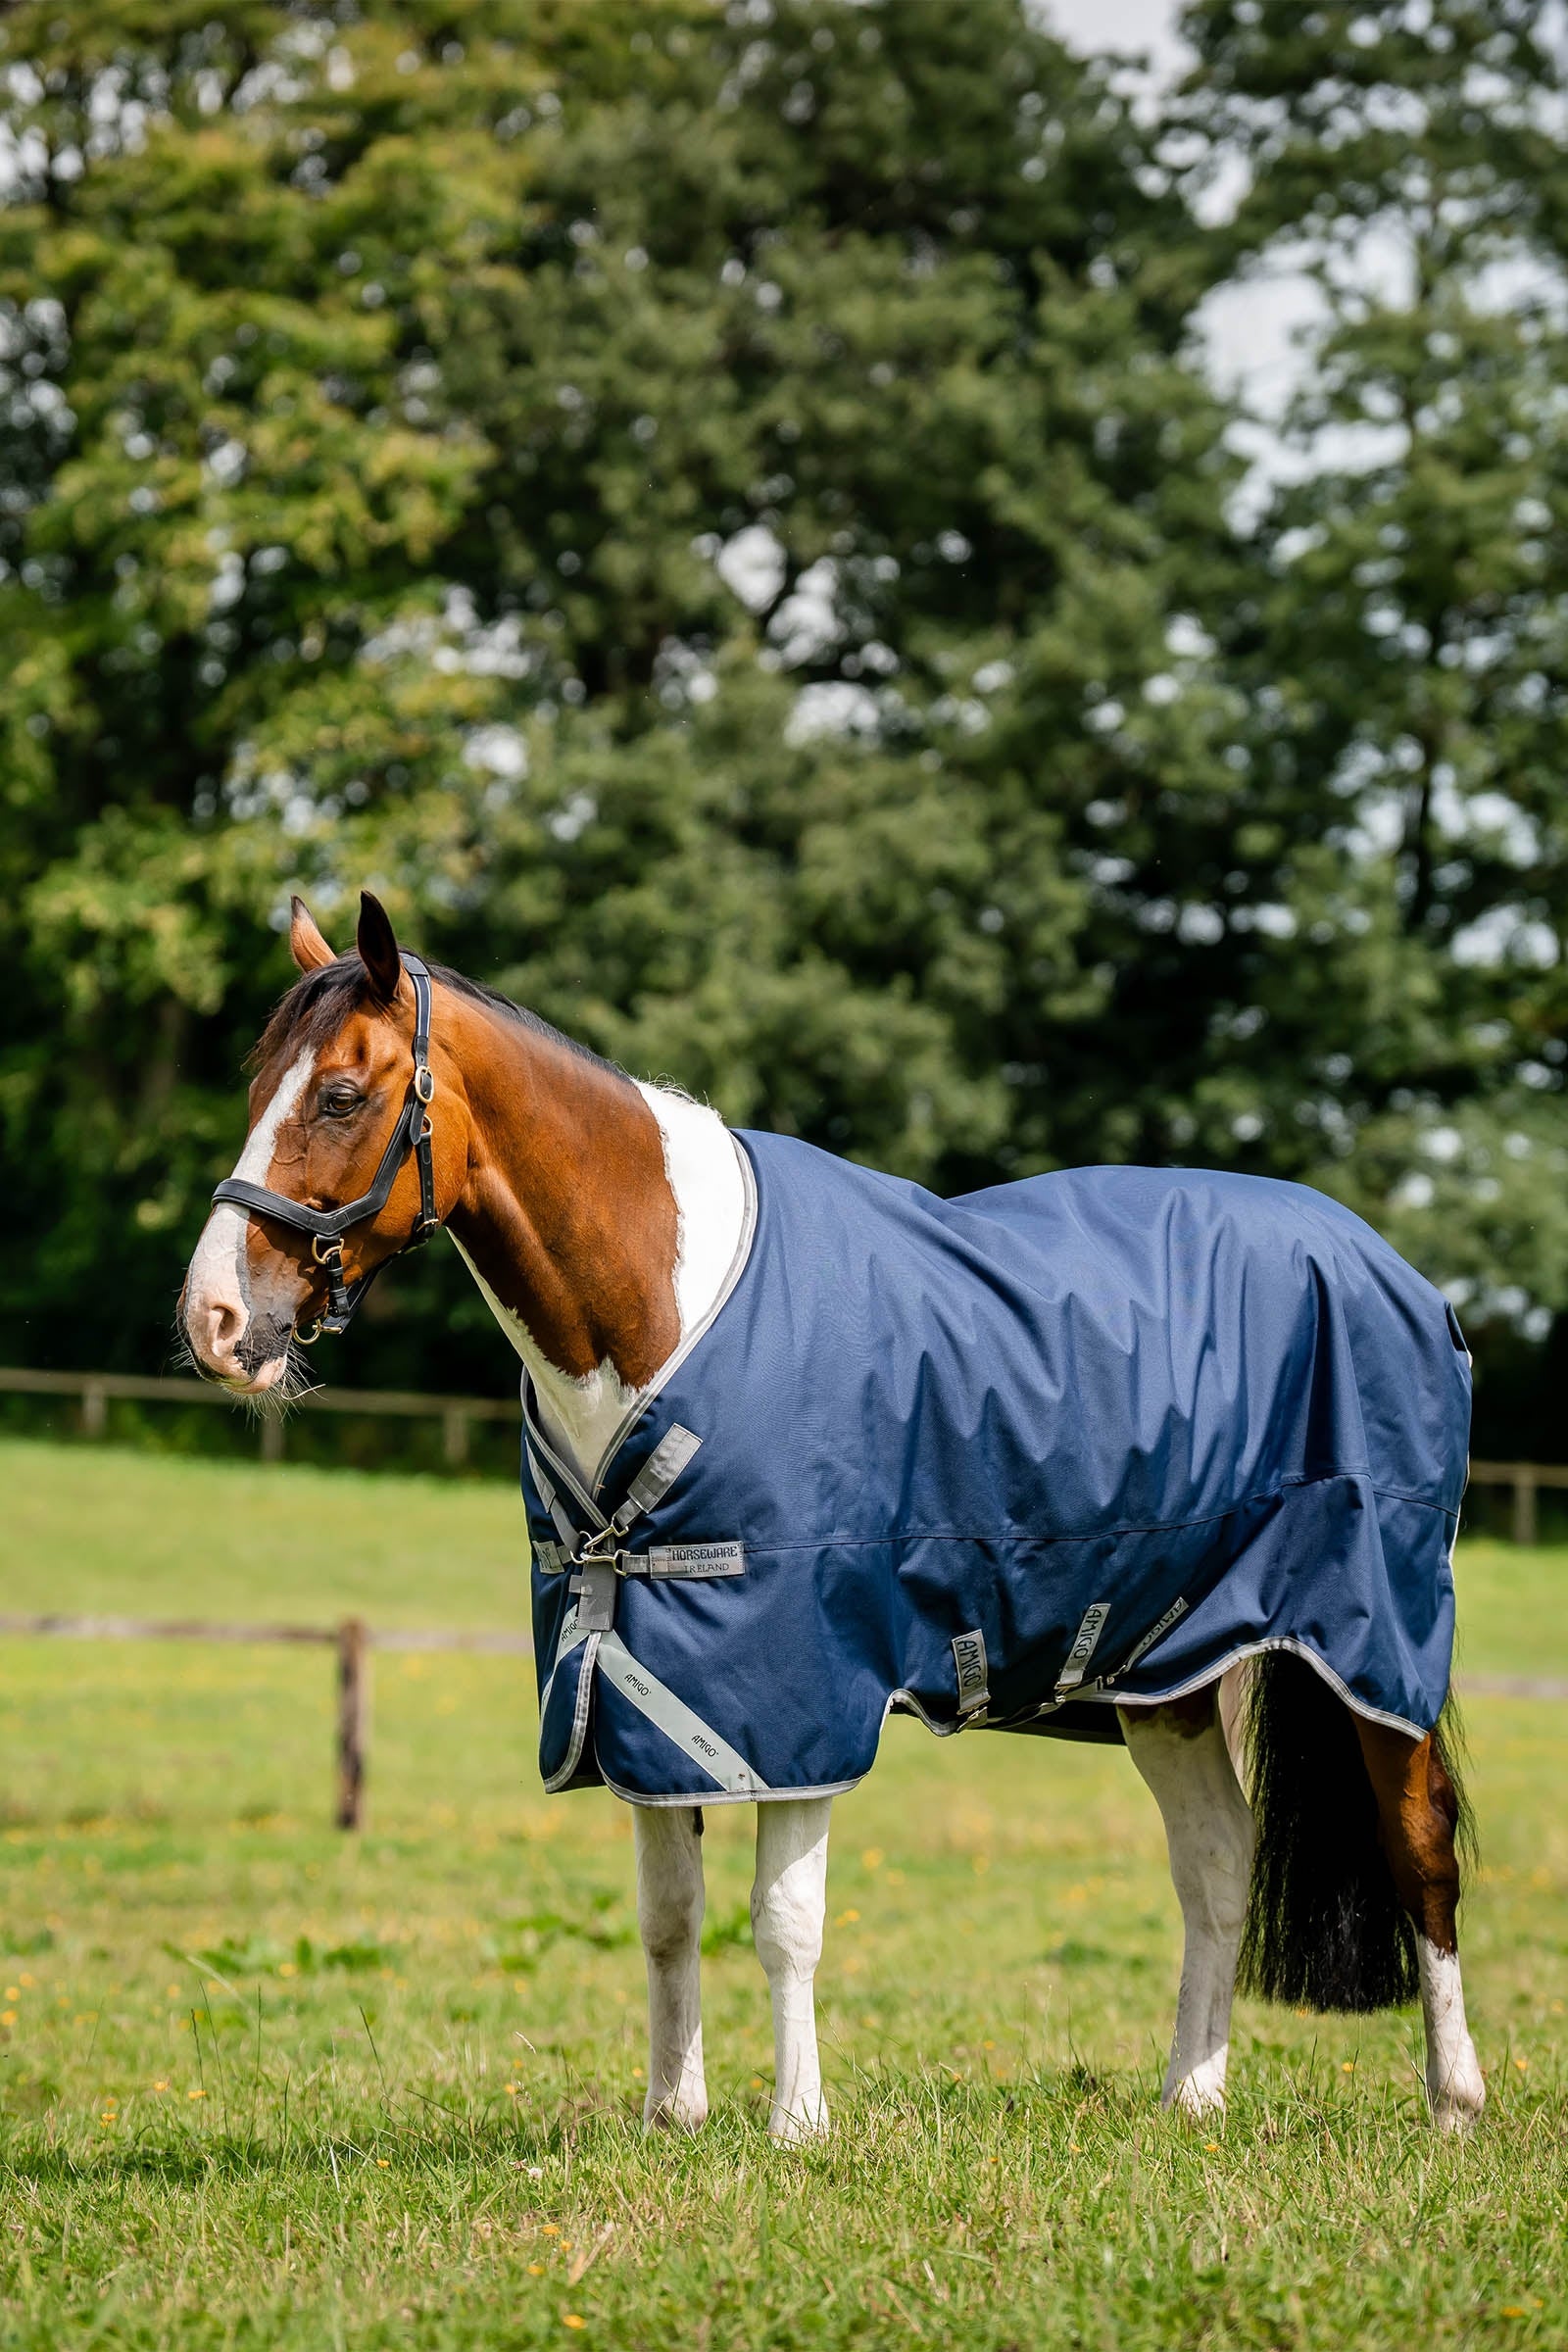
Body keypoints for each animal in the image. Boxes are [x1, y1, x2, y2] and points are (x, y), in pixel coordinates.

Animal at [179, 891, 1485, 2139]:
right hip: (1164, 1667)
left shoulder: (795, 1692)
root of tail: (1391, 1269)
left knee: (1419, 1849)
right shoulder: (642, 1688)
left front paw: (796, 2124)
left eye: (341, 1094)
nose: (214, 1321)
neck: (661, 1302)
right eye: (254, 1087)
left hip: (1372, 1642)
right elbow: (668, 1915)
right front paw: (671, 2114)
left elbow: (783, 1918)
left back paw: (1452, 2101)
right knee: (1215, 1865)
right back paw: (1191, 2098)